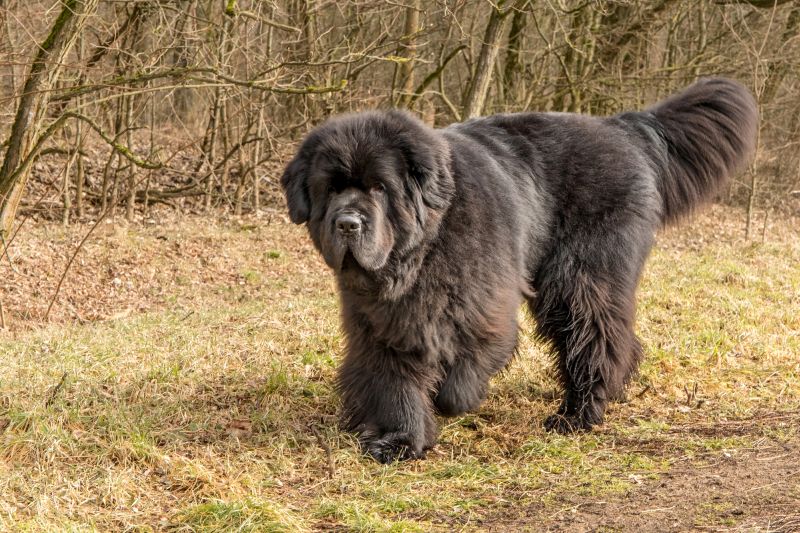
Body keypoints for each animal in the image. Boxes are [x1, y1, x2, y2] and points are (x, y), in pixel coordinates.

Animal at [280, 78, 756, 462]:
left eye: (380, 187)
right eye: (330, 189)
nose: (347, 223)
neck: (421, 253)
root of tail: (621, 127)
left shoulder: (486, 309)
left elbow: (466, 371)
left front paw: (448, 402)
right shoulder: (381, 326)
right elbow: (393, 381)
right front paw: (400, 441)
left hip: (578, 277)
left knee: (595, 333)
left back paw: (578, 414)